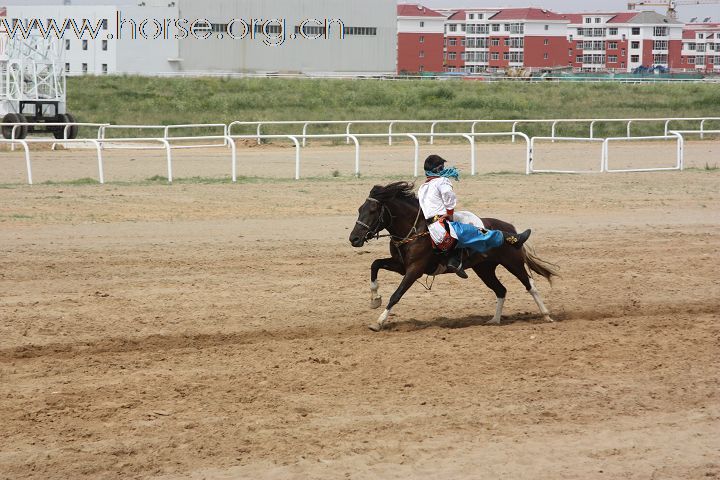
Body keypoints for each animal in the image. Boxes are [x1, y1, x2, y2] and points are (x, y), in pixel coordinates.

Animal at [348, 180, 556, 330]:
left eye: (373, 210)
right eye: (359, 209)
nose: (354, 238)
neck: (415, 230)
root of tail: (511, 229)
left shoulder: (414, 269)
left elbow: (396, 294)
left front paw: (379, 321)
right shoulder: (400, 265)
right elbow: (375, 264)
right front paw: (375, 299)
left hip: (513, 264)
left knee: (530, 286)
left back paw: (546, 315)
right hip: (485, 269)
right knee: (501, 290)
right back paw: (494, 320)